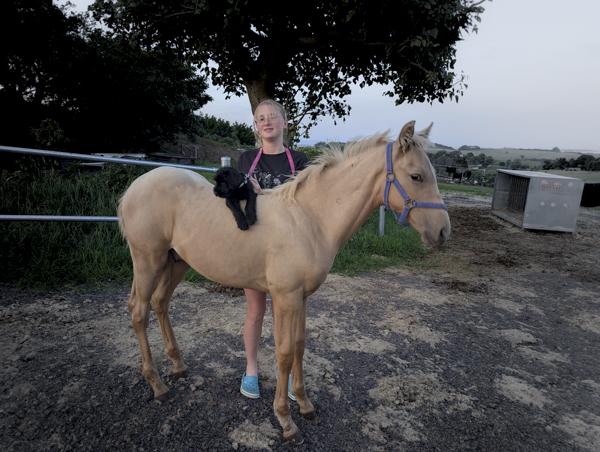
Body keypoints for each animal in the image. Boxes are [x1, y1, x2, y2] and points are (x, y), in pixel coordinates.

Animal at [117, 120, 451, 445]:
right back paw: (158, 385)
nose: (443, 232)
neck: (310, 219)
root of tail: (135, 186)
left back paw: (179, 366)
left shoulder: (302, 297)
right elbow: (285, 352)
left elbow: (301, 345)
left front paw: (304, 404)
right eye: (416, 176)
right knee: (139, 311)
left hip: (176, 262)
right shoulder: (285, 297)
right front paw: (286, 422)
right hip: (148, 261)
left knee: (160, 303)